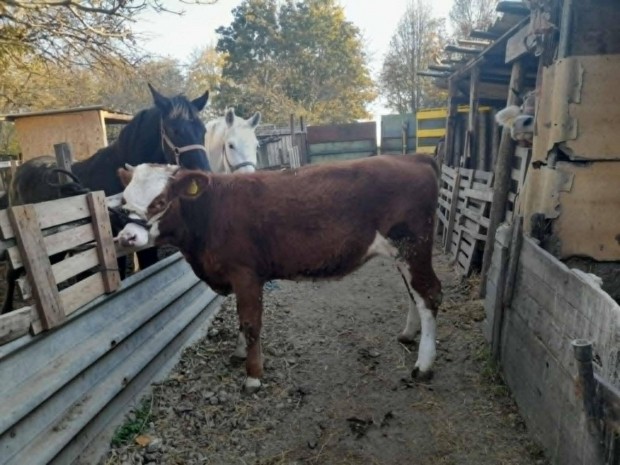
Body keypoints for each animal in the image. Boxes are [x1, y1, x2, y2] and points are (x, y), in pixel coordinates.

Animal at [0, 83, 211, 314]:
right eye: (174, 130)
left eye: (203, 131)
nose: (205, 176)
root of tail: (19, 172)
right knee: (12, 273)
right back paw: (7, 308)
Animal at [117, 156, 440, 392]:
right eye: (124, 202)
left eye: (159, 202)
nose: (127, 237)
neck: (210, 211)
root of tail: (412, 158)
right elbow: (241, 320)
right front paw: (239, 354)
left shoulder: (246, 274)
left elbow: (250, 323)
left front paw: (253, 375)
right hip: (403, 254)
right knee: (413, 292)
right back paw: (408, 334)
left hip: (413, 246)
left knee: (429, 294)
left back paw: (424, 366)